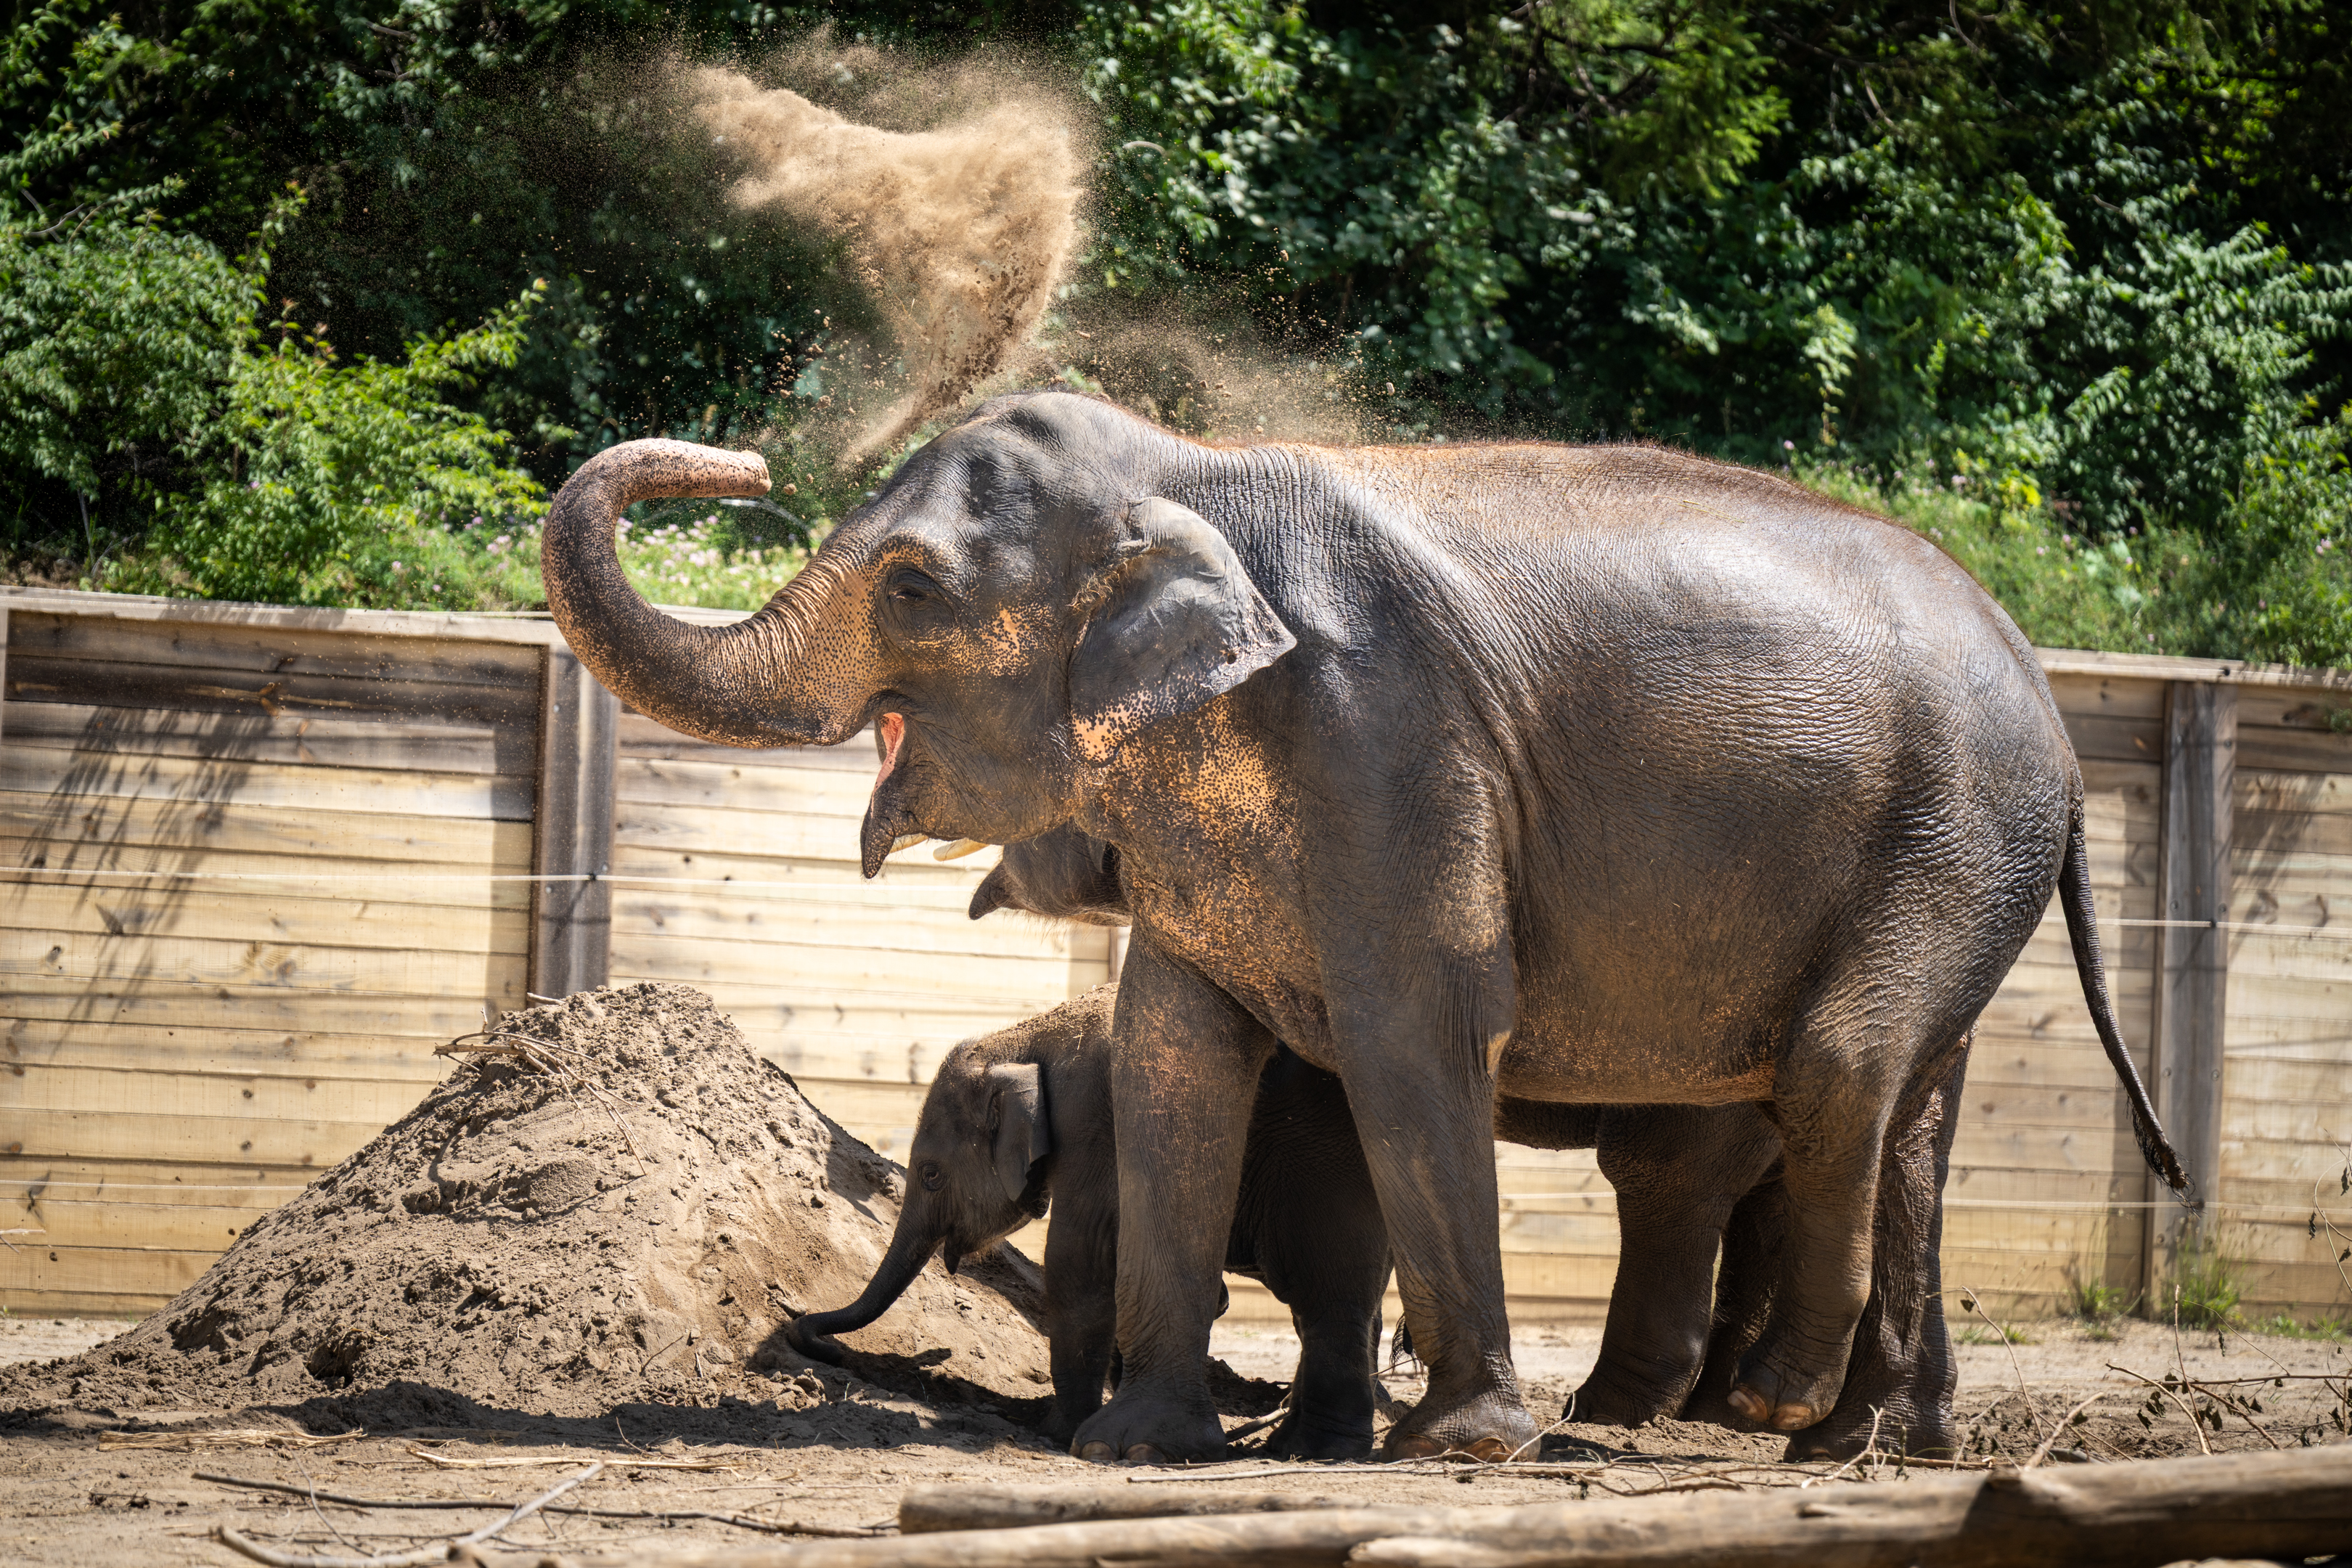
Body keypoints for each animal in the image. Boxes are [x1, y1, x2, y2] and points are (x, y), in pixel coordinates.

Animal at [541, 392, 2185, 1465]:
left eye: (912, 586)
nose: (738, 458)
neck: (1190, 472)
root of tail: (2046, 695)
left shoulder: (1388, 739)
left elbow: (1413, 1028)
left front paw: (1459, 1448)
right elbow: (1174, 1048)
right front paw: (1138, 1449)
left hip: (1950, 835)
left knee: (1837, 1072)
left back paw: (1759, 1411)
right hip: (1955, 858)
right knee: (1913, 1115)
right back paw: (1866, 1449)